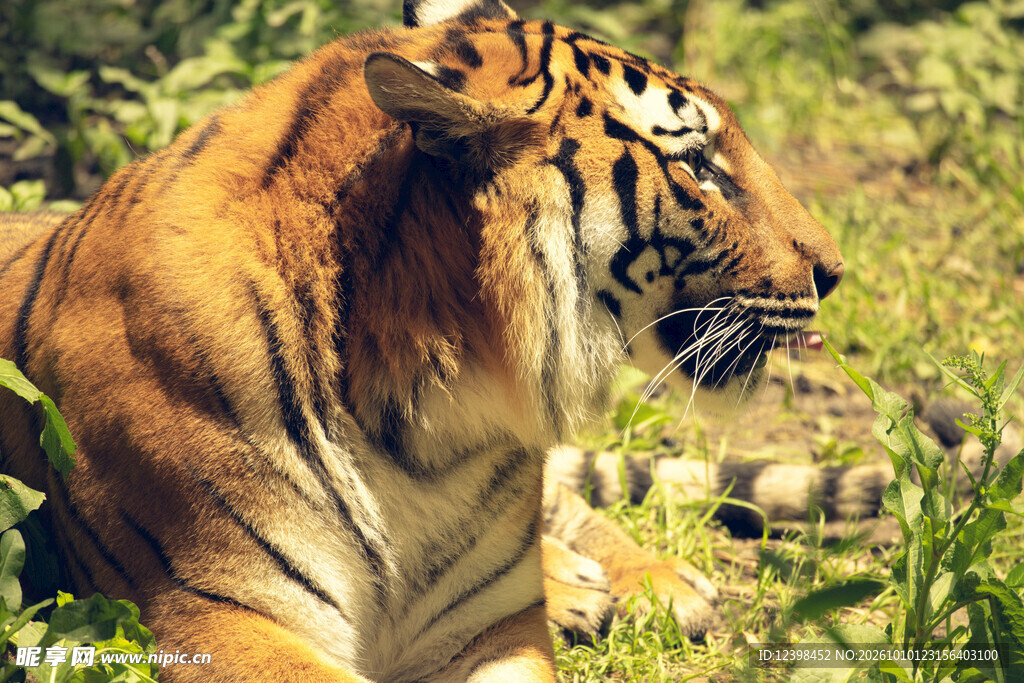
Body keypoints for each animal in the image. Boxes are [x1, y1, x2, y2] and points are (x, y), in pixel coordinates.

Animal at [0, 0, 845, 680]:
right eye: (698, 165)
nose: (834, 271)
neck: (431, 415)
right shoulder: (214, 611)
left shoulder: (491, 626)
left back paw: (659, 586)